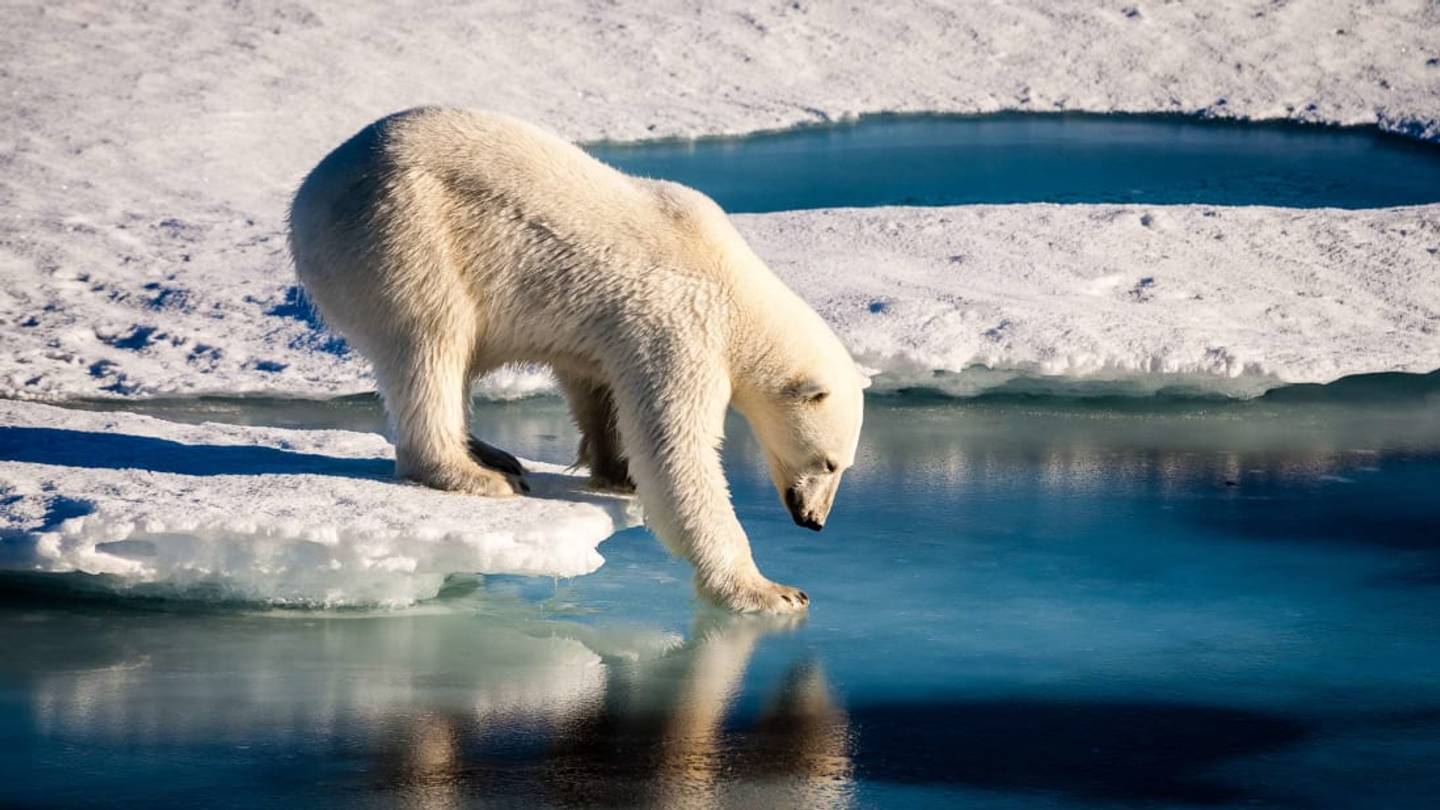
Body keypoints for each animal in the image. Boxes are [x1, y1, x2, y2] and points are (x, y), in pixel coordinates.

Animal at [288, 108, 865, 613]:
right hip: (403, 232)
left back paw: (492, 452)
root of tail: (309, 194)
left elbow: (597, 387)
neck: (735, 288)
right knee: (431, 342)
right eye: (828, 463)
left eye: (842, 466)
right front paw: (771, 591)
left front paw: (616, 471)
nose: (814, 520)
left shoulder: (614, 331)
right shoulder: (681, 327)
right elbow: (676, 451)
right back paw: (474, 473)